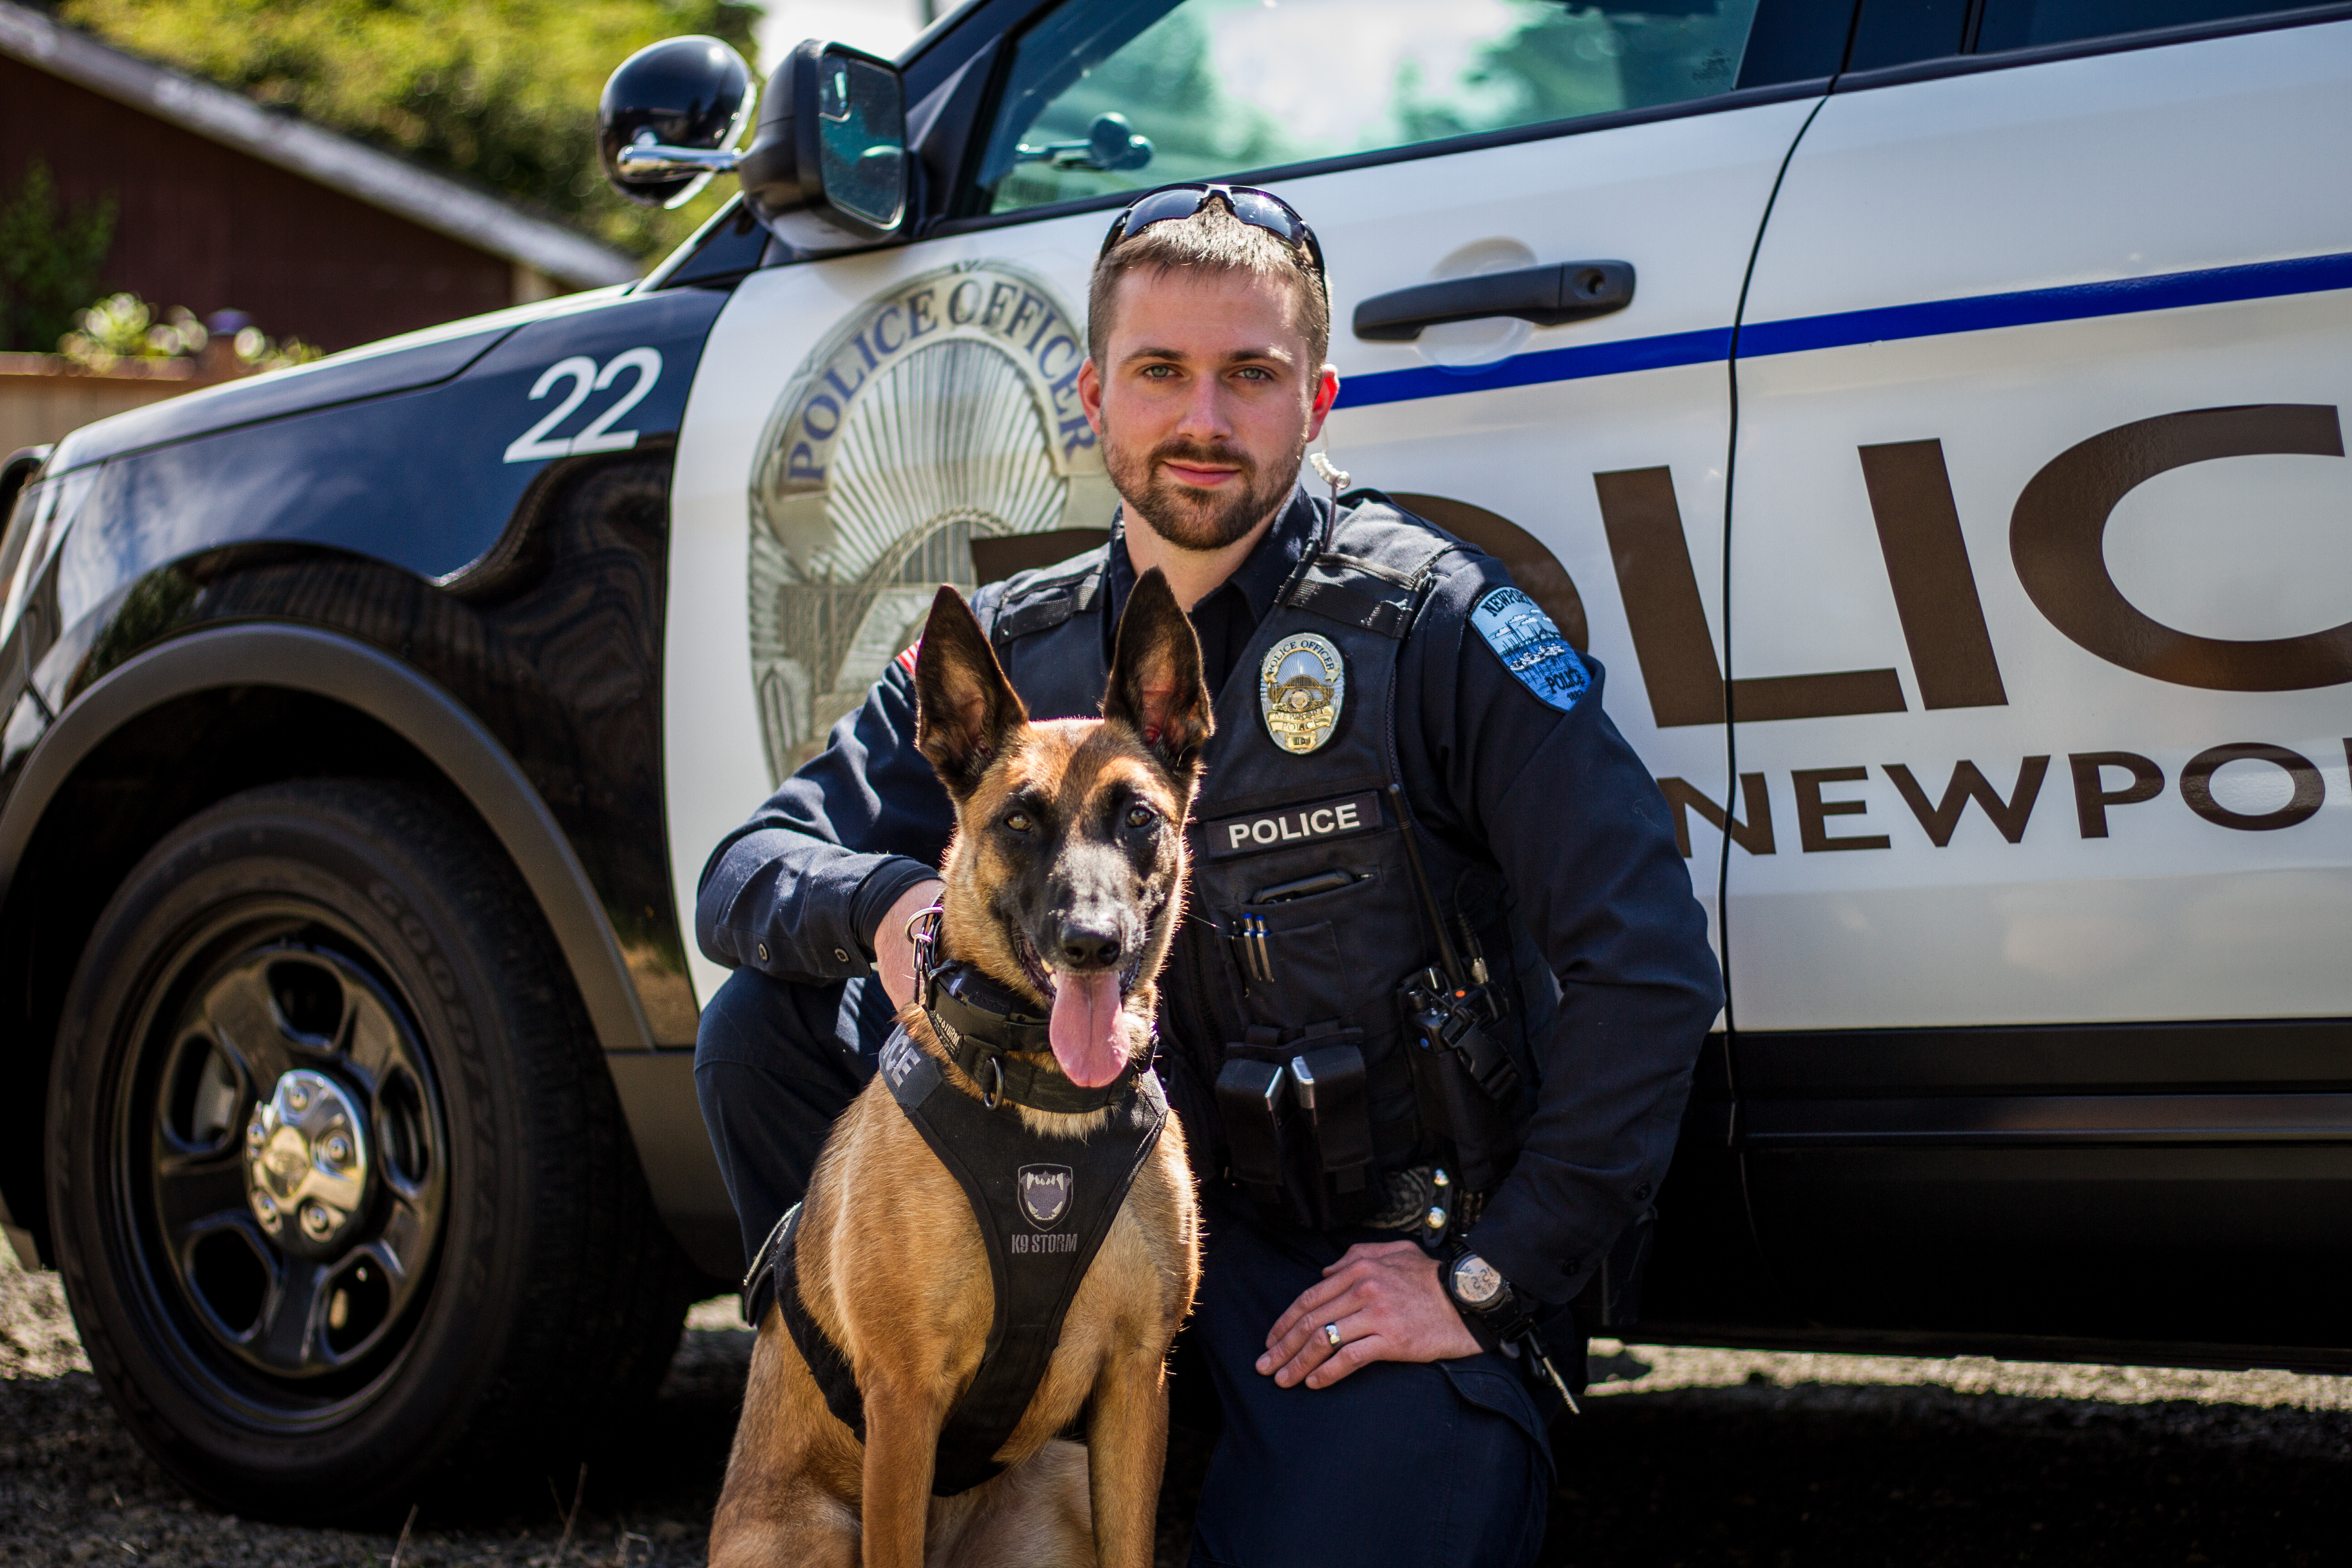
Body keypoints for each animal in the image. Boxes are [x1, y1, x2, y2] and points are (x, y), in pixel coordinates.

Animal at [710, 573, 1213, 1568]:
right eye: (1018, 821)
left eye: (1138, 818)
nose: (1091, 943)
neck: (1042, 1106)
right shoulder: (904, 1400)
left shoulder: (1136, 1384)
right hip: (815, 1535)